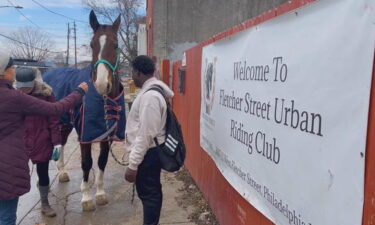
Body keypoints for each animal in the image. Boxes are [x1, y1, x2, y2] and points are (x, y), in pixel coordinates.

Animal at [50, 10, 122, 211]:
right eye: (92, 45)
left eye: (116, 45)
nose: (101, 84)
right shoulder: (85, 135)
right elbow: (86, 163)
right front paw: (86, 198)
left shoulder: (107, 135)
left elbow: (101, 161)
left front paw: (100, 194)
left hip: (65, 123)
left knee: (62, 142)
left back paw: (62, 172)